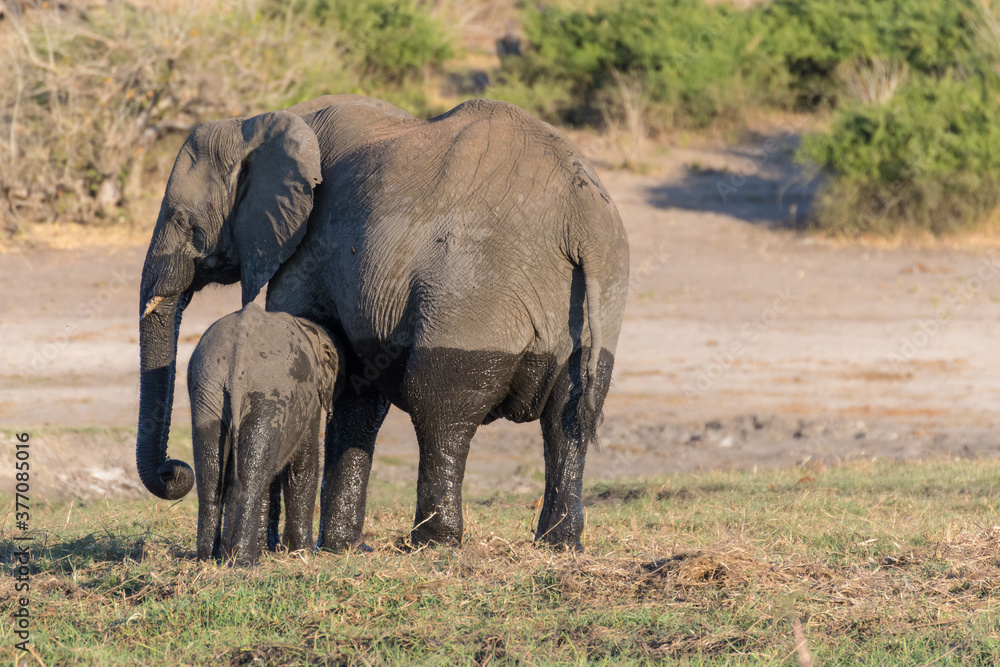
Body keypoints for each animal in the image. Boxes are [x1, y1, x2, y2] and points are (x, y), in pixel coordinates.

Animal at [186, 302, 342, 564]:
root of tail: (236, 369)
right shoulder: (307, 396)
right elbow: (302, 466)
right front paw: (303, 553)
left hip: (207, 391)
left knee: (212, 473)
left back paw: (209, 558)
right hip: (270, 393)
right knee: (251, 474)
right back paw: (244, 562)